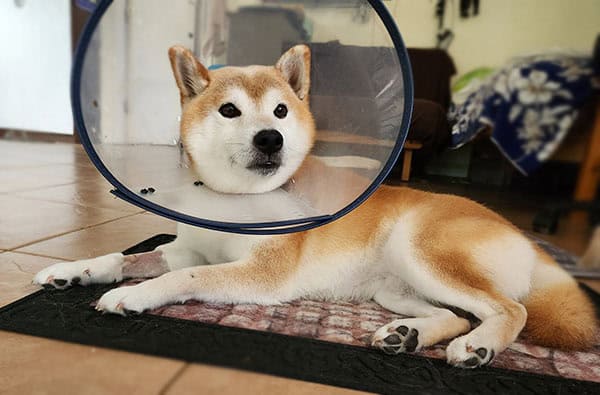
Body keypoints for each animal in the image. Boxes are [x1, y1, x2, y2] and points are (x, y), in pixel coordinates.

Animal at [35, 44, 596, 370]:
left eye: (282, 110)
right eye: (229, 109)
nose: (271, 137)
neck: (233, 201)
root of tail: (521, 235)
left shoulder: (261, 273)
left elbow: (181, 279)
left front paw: (134, 294)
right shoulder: (185, 249)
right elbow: (128, 258)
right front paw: (74, 270)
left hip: (421, 250)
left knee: (511, 309)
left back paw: (480, 347)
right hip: (394, 289)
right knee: (455, 315)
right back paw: (409, 336)